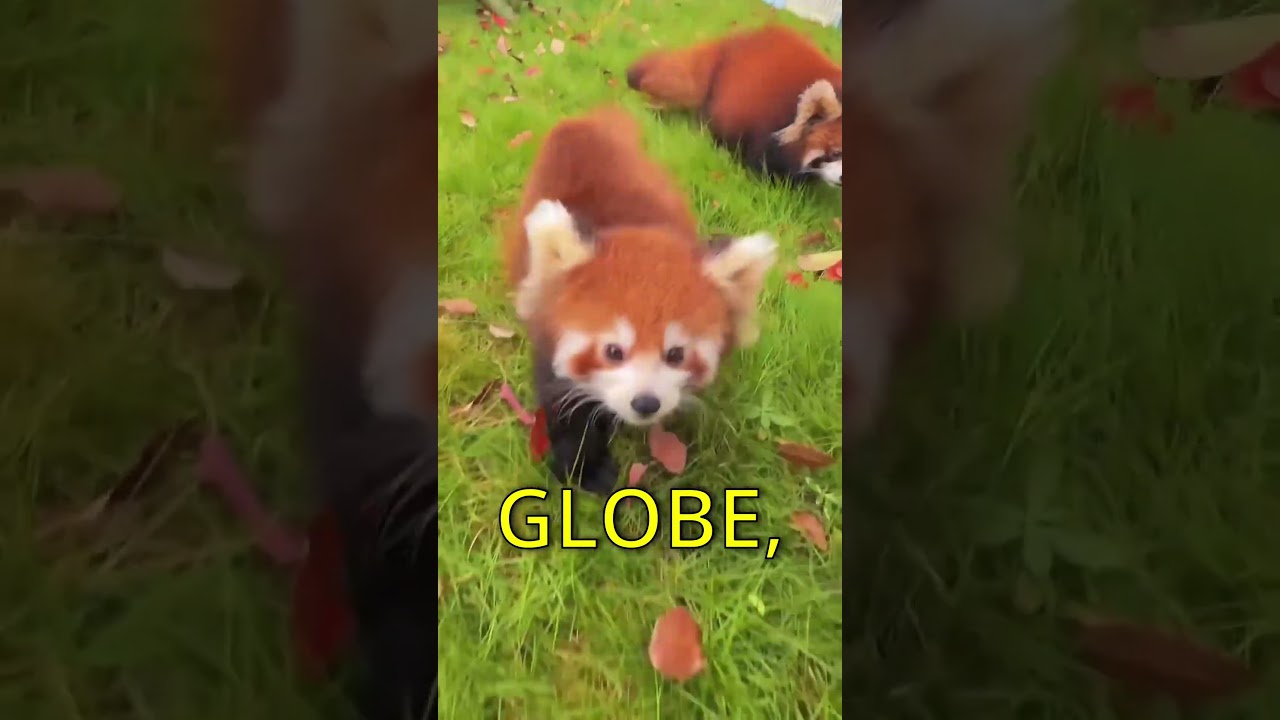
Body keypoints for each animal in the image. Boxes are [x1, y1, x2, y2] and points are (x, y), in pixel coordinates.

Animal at [505, 106, 778, 493]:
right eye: (613, 351)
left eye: (676, 354)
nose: (646, 403)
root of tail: (581, 124)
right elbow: (564, 405)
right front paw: (584, 467)